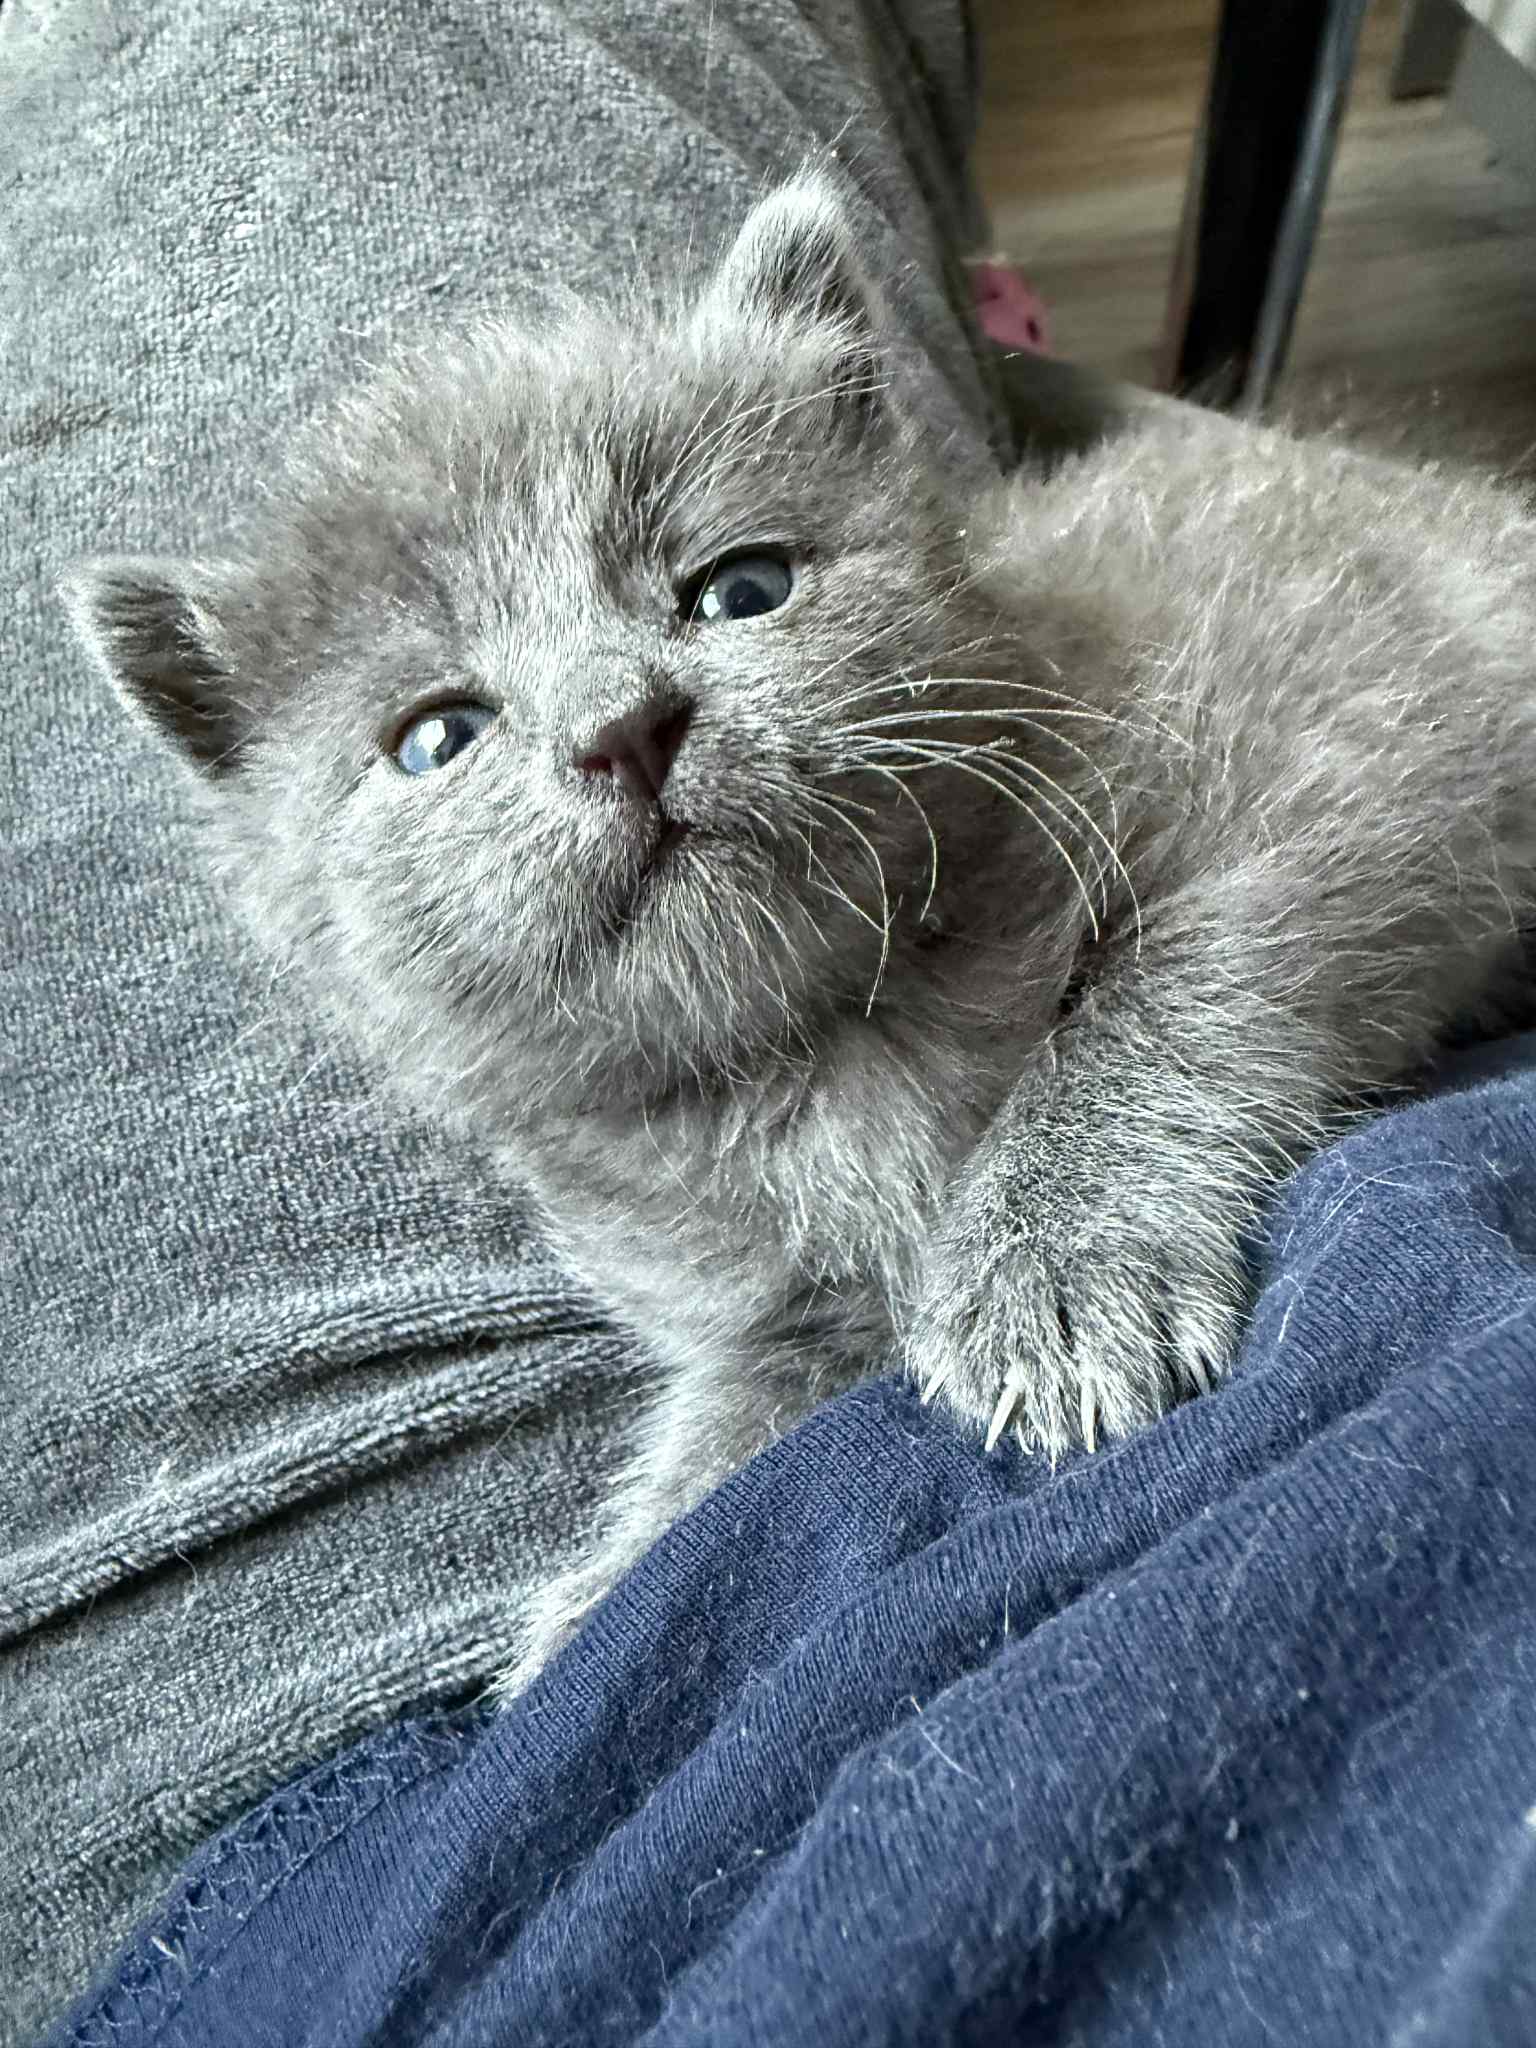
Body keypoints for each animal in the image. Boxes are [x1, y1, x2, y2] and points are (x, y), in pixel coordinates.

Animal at [66, 170, 1536, 1692]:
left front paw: (1057, 1263)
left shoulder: (1346, 763)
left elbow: (1163, 992)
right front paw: (595, 1620)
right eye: (437, 738)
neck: (826, 1045)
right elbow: (736, 1447)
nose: (623, 726)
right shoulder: (779, 1308)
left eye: (741, 588)